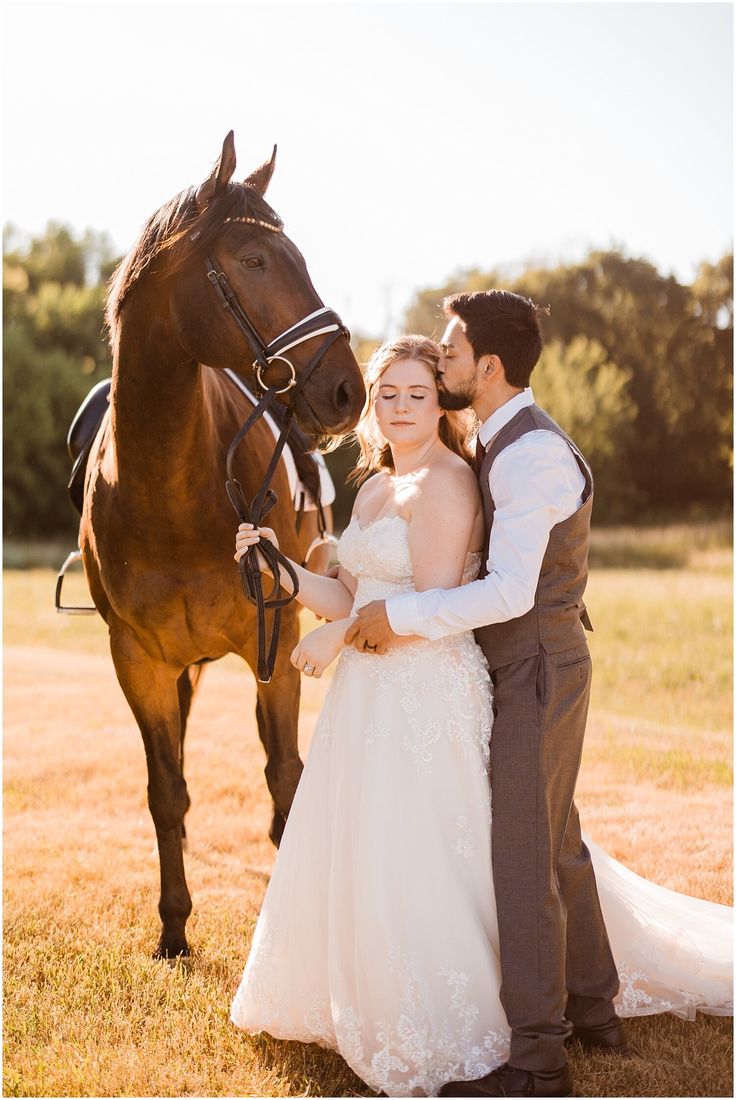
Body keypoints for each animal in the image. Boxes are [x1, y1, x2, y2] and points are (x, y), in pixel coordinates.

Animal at [80, 133, 365, 954]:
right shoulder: (138, 662)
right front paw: (173, 930)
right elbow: (165, 791)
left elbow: (285, 777)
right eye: (254, 260)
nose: (349, 390)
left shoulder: (277, 641)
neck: (166, 488)